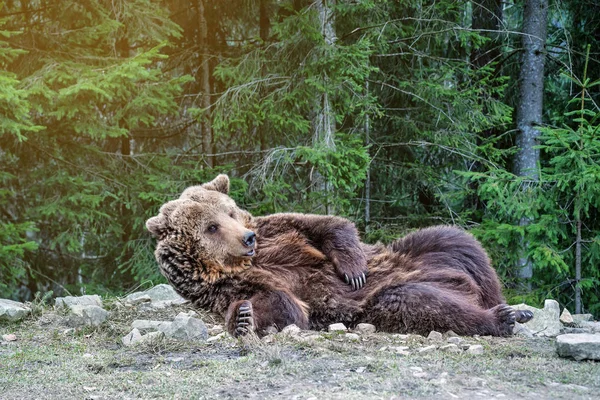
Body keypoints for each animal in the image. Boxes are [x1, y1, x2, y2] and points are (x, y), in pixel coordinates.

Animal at [148, 175, 532, 338]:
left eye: (230, 211)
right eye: (211, 227)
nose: (247, 238)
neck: (245, 262)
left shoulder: (277, 228)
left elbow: (325, 224)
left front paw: (353, 269)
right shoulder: (227, 286)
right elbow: (284, 306)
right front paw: (244, 318)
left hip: (421, 252)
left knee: (460, 243)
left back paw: (515, 308)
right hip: (381, 302)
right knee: (418, 301)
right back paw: (499, 317)